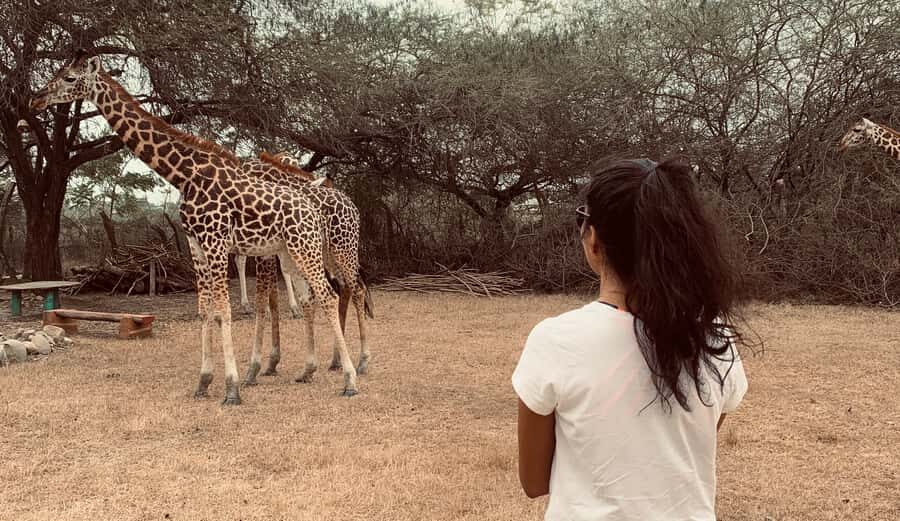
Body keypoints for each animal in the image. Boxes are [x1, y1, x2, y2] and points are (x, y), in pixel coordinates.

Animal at [30, 51, 362, 402]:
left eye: (69, 78)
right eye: (58, 72)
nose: (37, 98)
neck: (185, 176)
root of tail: (312, 209)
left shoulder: (216, 242)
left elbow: (225, 310)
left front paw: (232, 387)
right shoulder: (196, 246)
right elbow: (205, 310)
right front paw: (203, 381)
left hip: (307, 247)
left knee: (330, 295)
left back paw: (350, 378)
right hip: (289, 252)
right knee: (316, 297)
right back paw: (313, 370)